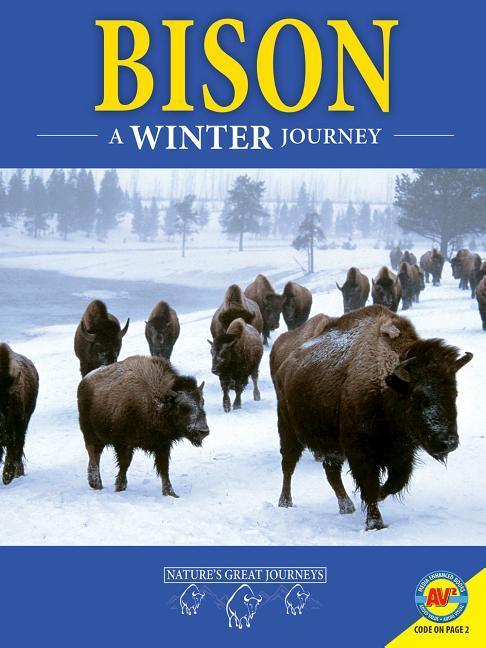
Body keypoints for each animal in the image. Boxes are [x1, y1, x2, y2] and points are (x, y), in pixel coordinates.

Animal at [77, 356, 209, 496]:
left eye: (202, 402)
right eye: (183, 407)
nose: (203, 431)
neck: (157, 401)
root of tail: (84, 381)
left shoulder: (162, 444)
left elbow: (164, 468)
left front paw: (170, 493)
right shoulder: (124, 443)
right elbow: (124, 464)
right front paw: (120, 488)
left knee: (97, 454)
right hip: (90, 433)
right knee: (92, 453)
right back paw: (95, 483)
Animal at [270, 304, 472, 531]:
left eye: (455, 393)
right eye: (418, 396)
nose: (448, 442)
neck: (387, 383)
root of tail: (285, 366)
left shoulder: (403, 451)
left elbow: (396, 481)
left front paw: (379, 500)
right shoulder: (359, 450)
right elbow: (369, 484)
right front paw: (375, 523)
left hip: (330, 446)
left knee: (331, 472)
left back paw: (346, 506)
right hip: (288, 430)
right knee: (288, 465)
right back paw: (285, 502)